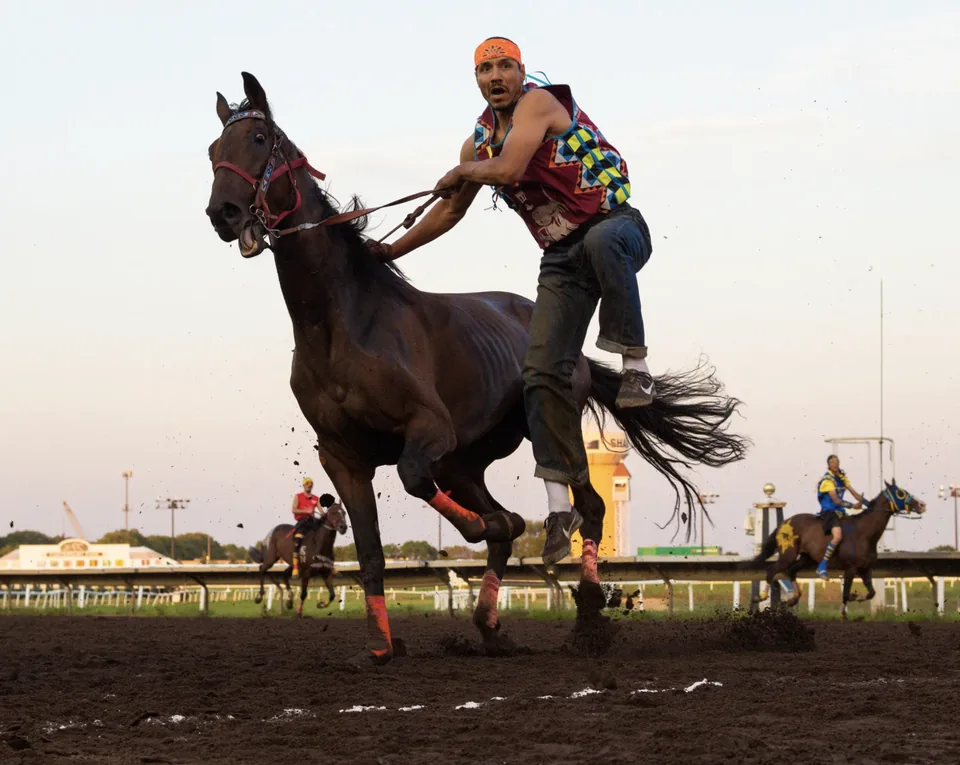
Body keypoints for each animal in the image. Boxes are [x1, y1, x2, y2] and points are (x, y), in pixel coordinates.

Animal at [205, 72, 750, 664]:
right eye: (213, 150)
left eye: (259, 139)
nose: (223, 214)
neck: (340, 322)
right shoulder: (342, 456)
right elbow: (372, 553)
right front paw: (381, 646)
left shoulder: (429, 427)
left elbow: (418, 479)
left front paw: (470, 530)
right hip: (465, 461)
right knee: (509, 525)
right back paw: (489, 623)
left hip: (544, 417)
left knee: (586, 505)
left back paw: (584, 613)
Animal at [750, 480, 926, 617]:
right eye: (901, 493)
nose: (922, 504)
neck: (864, 532)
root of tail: (783, 523)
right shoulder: (851, 569)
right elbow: (846, 595)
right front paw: (846, 608)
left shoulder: (866, 569)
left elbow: (871, 593)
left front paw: (858, 598)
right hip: (788, 554)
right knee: (772, 569)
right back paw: (761, 597)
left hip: (807, 558)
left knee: (791, 570)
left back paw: (792, 599)